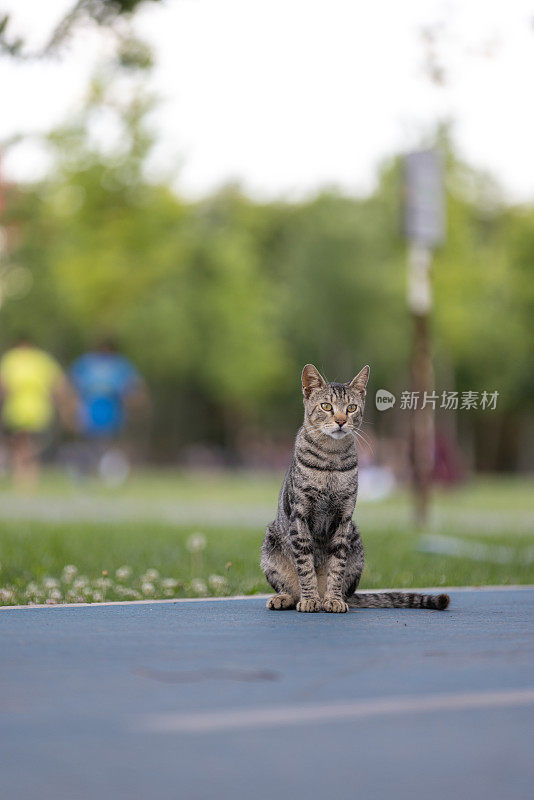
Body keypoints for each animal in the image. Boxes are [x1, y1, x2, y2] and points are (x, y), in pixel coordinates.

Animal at [262, 364, 450, 612]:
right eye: (326, 406)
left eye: (351, 408)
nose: (341, 421)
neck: (331, 458)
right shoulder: (300, 515)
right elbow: (305, 566)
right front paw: (310, 598)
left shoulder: (344, 518)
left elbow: (336, 567)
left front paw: (333, 600)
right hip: (270, 544)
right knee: (290, 587)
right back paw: (286, 597)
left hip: (356, 540)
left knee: (345, 588)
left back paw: (331, 598)